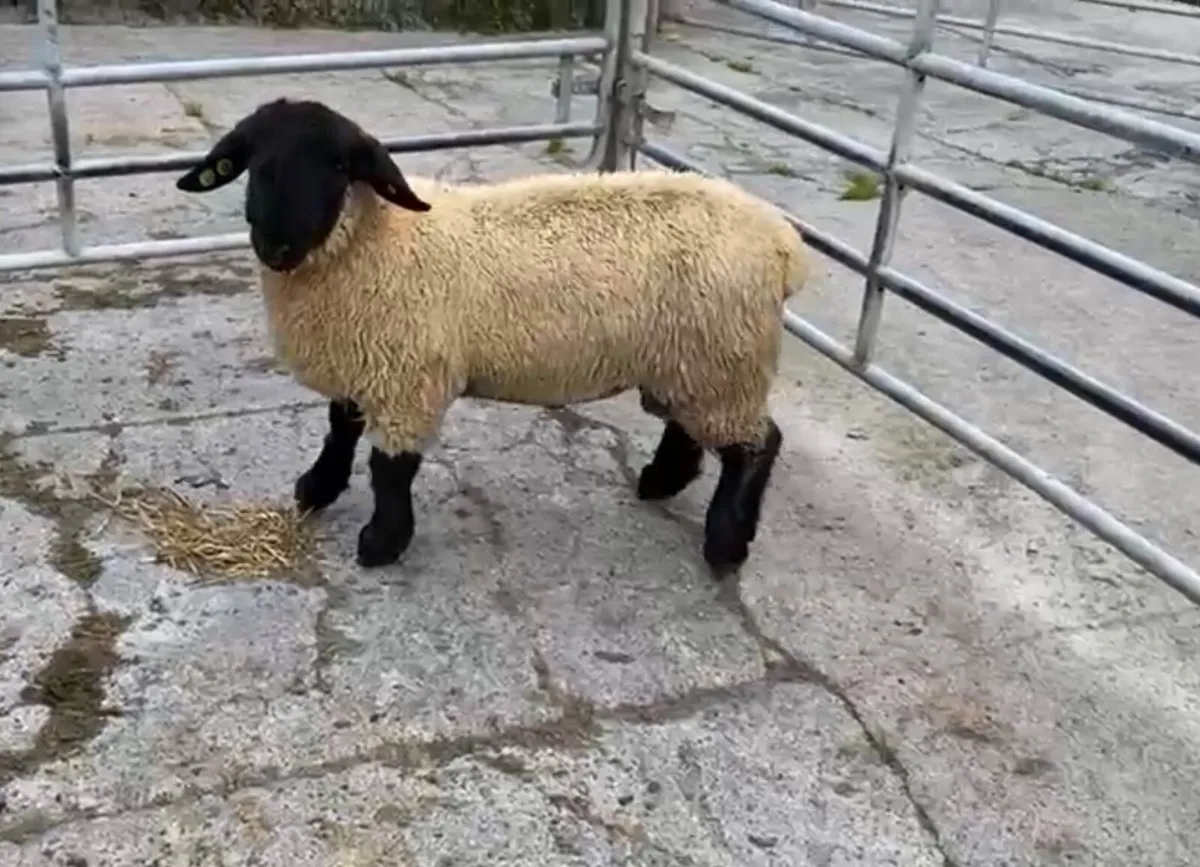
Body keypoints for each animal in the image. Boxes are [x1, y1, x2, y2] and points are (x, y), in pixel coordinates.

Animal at [174, 97, 810, 577]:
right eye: (255, 163)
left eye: (337, 167)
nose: (276, 245)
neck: (374, 240)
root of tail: (782, 241)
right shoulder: (367, 358)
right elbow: (340, 432)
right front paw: (317, 488)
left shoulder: (407, 375)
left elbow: (389, 467)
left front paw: (381, 542)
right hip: (692, 357)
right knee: (691, 427)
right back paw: (660, 483)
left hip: (723, 356)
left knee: (757, 444)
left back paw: (726, 543)